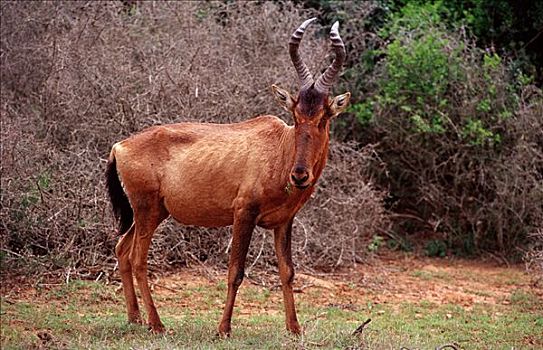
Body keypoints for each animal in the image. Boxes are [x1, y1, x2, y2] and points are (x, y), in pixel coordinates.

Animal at [105, 17, 350, 334]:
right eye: (296, 116)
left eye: (324, 117)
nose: (299, 176)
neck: (279, 146)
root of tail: (120, 146)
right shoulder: (243, 214)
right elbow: (236, 271)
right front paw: (223, 329)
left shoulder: (284, 222)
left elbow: (288, 272)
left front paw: (294, 329)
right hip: (147, 210)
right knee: (138, 259)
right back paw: (157, 324)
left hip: (151, 212)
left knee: (122, 250)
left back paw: (135, 318)